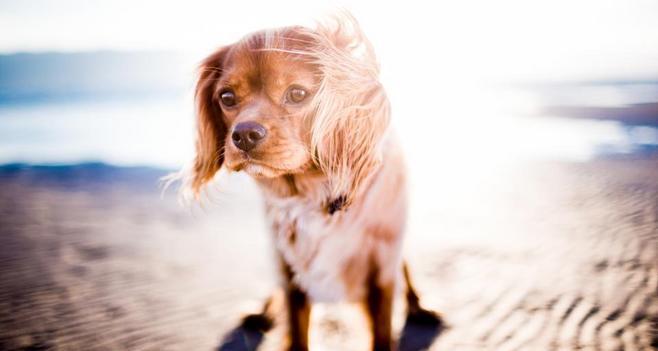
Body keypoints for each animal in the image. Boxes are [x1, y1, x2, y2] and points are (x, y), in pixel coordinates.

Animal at [184, 13, 438, 351]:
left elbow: (383, 330)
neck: (313, 194)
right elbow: (295, 328)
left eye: (298, 94)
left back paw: (420, 306)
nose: (243, 135)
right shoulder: (291, 273)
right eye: (226, 97)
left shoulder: (382, 271)